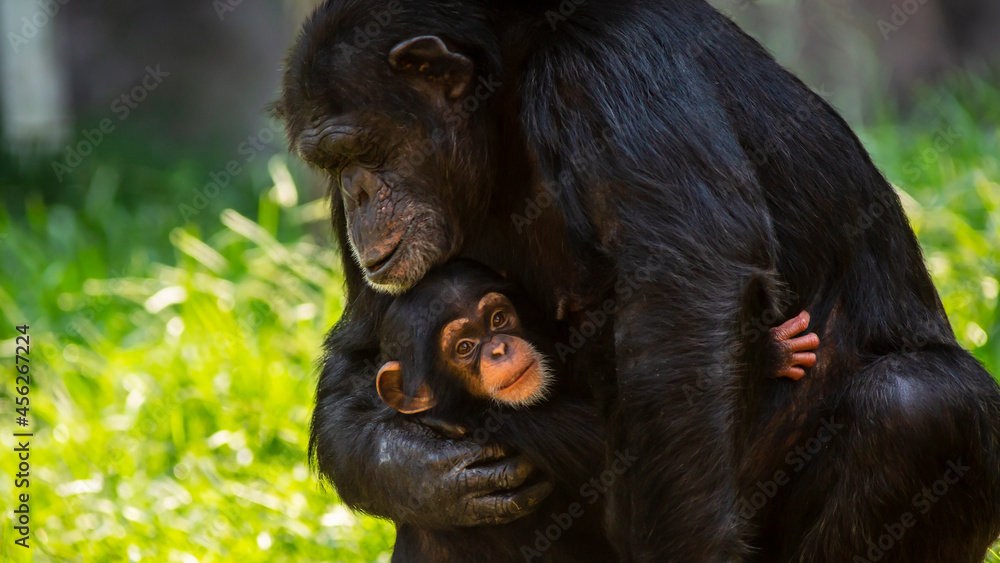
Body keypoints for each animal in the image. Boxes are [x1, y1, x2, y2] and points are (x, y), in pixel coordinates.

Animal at [372, 258, 816, 560]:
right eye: (464, 347)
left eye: (498, 318)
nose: (497, 348)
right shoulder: (512, 422)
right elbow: (630, 443)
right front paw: (770, 352)